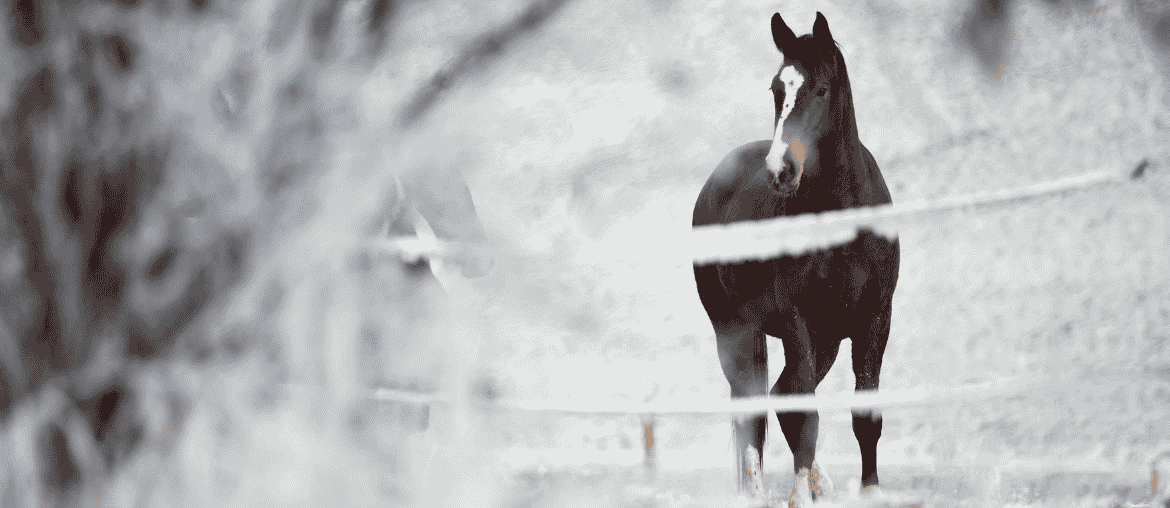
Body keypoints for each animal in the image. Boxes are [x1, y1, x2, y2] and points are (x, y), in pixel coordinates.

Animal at [691, 12, 900, 506]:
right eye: (775, 89)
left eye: (821, 89)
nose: (781, 170)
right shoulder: (796, 323)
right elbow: (804, 415)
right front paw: (799, 495)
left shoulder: (874, 320)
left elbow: (865, 416)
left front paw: (869, 490)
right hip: (736, 331)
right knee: (753, 407)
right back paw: (757, 491)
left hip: (825, 340)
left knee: (778, 393)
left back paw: (819, 482)